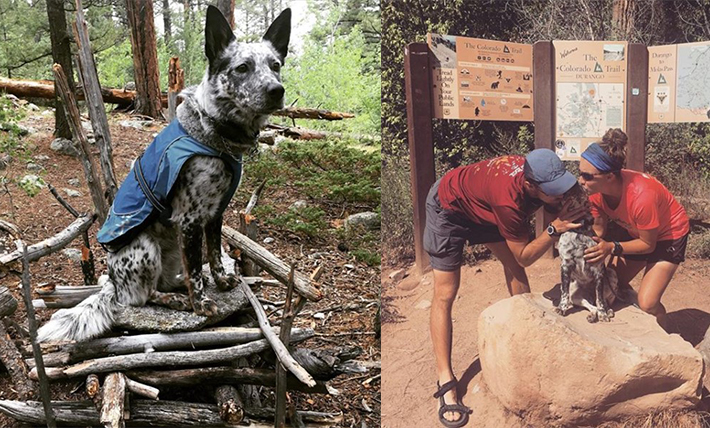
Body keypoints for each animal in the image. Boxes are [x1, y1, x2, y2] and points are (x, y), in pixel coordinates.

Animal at [35, 5, 292, 342]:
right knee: (140, 297)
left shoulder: (215, 214)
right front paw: (200, 303)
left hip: (169, 252)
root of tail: (112, 284)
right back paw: (177, 299)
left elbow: (213, 254)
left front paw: (221, 281)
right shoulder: (190, 219)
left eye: (275, 66)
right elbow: (196, 271)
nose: (277, 90)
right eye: (242, 68)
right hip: (146, 250)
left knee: (165, 281)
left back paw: (178, 288)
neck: (215, 134)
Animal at [560, 183, 620, 320]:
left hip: (611, 274)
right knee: (589, 305)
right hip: (576, 295)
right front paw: (561, 308)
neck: (580, 231)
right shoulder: (565, 266)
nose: (575, 184)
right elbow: (564, 294)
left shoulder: (599, 271)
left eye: (580, 186)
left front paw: (603, 313)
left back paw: (606, 311)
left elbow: (600, 299)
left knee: (601, 301)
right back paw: (593, 315)